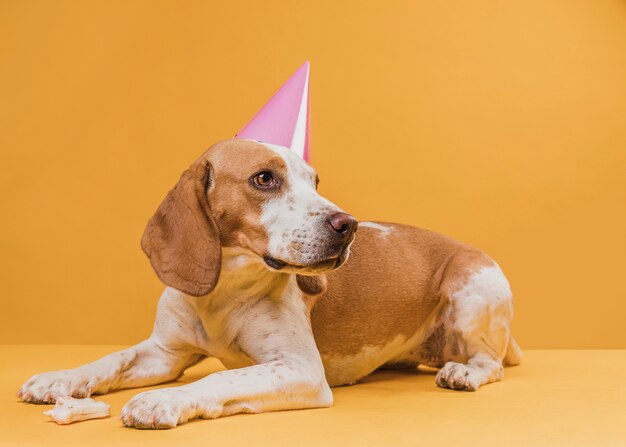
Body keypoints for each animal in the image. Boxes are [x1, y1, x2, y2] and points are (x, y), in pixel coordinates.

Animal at [17, 138, 520, 428]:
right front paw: (60, 379)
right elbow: (109, 360)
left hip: (472, 289)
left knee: (490, 363)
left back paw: (463, 372)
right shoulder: (164, 353)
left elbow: (222, 378)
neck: (222, 295)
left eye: (315, 181)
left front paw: (165, 400)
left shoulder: (299, 369)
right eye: (264, 179)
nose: (349, 225)